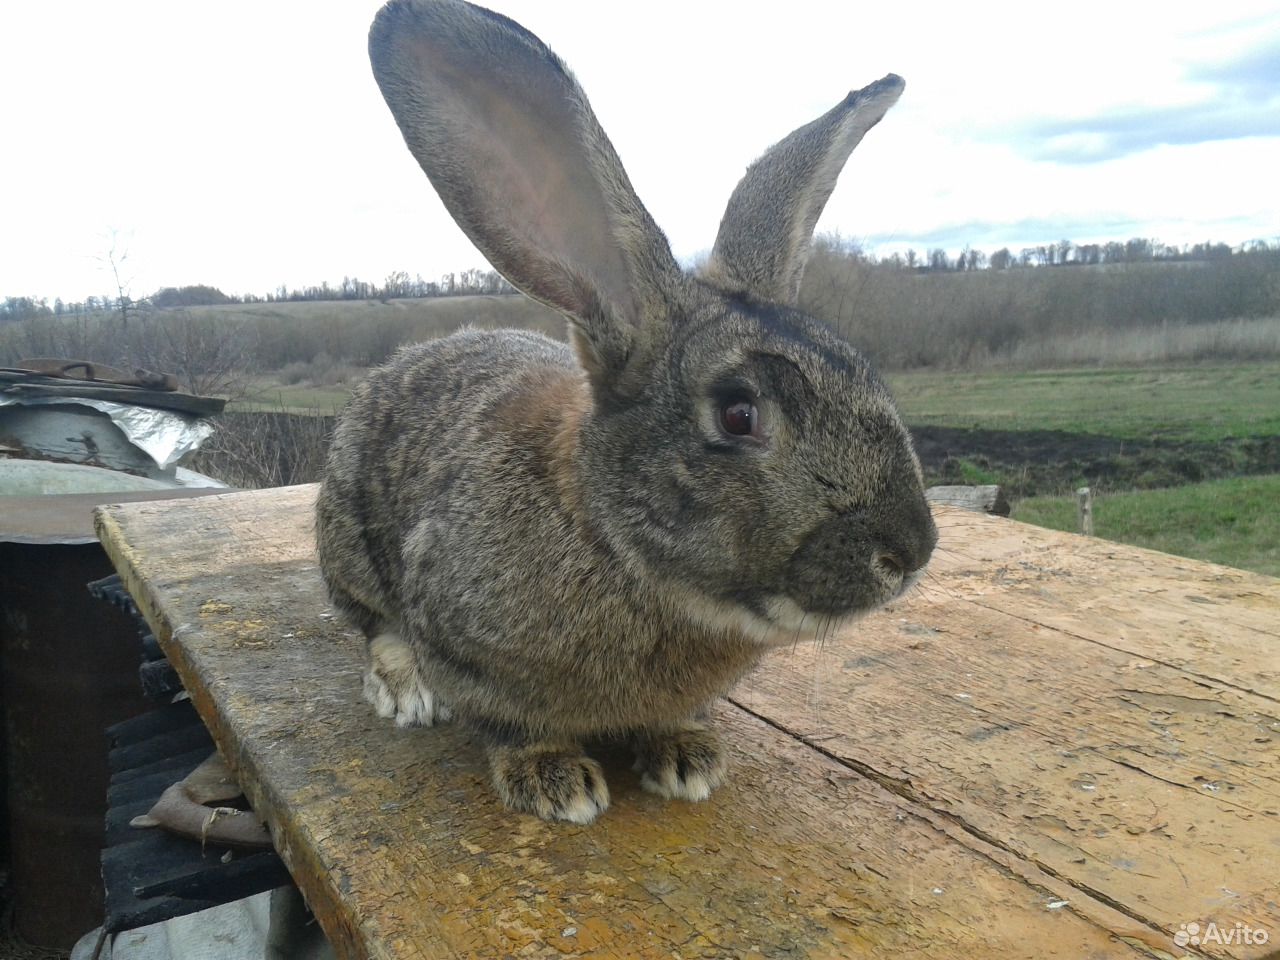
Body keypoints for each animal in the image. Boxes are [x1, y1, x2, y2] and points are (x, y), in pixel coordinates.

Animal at [317, 0, 942, 829]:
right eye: (738, 415)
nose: (912, 550)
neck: (612, 544)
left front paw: (687, 759)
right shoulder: (460, 641)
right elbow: (507, 723)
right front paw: (556, 782)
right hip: (347, 535)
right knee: (371, 625)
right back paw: (405, 691)